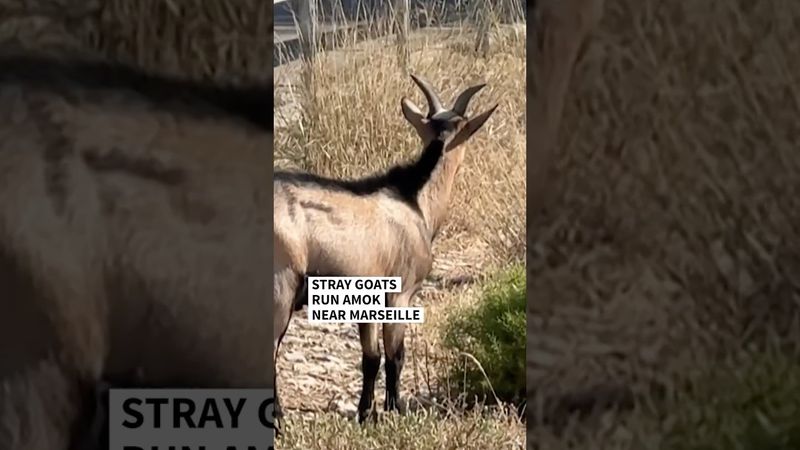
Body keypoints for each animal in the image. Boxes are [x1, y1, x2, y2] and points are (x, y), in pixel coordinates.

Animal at [273, 74, 498, 424]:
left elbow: (370, 357)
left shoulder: (367, 297)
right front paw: (396, 409)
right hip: (281, 285)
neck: (414, 198)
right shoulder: (400, 292)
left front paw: (366, 413)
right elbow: (395, 355)